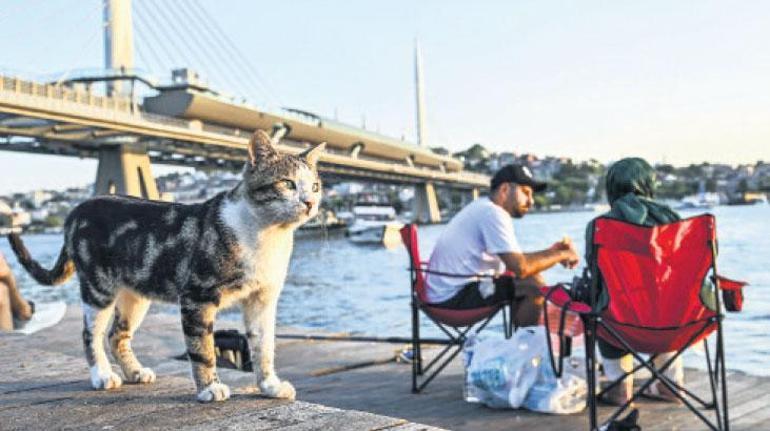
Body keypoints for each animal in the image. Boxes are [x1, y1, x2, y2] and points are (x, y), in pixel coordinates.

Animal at [8, 130, 324, 404]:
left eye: (315, 186)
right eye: (287, 183)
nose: (310, 202)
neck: (266, 236)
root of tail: (75, 211)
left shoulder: (262, 299)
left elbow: (264, 347)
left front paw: (271, 386)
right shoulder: (197, 296)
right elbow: (202, 348)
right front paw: (209, 388)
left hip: (135, 296)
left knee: (116, 335)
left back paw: (135, 372)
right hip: (99, 289)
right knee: (91, 334)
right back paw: (102, 375)